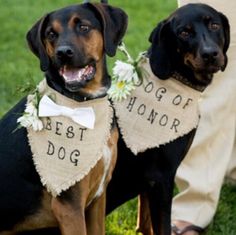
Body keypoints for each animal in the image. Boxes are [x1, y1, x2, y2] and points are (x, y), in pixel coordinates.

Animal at [0, 1, 127, 235]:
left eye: (83, 27)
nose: (63, 53)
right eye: (51, 34)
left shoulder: (98, 199)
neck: (83, 105)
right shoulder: (69, 207)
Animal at [105, 3, 230, 235]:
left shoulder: (148, 182)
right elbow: (161, 225)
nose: (210, 54)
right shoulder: (161, 177)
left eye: (215, 25)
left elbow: (146, 223)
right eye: (184, 32)